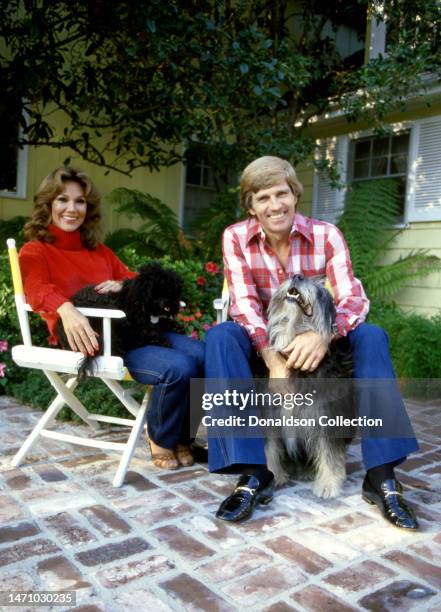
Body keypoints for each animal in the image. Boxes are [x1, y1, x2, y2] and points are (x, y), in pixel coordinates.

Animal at [264, 274, 354, 494]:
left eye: (321, 292)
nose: (297, 276)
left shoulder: (326, 414)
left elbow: (329, 451)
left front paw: (329, 484)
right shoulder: (269, 414)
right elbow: (270, 448)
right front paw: (272, 475)